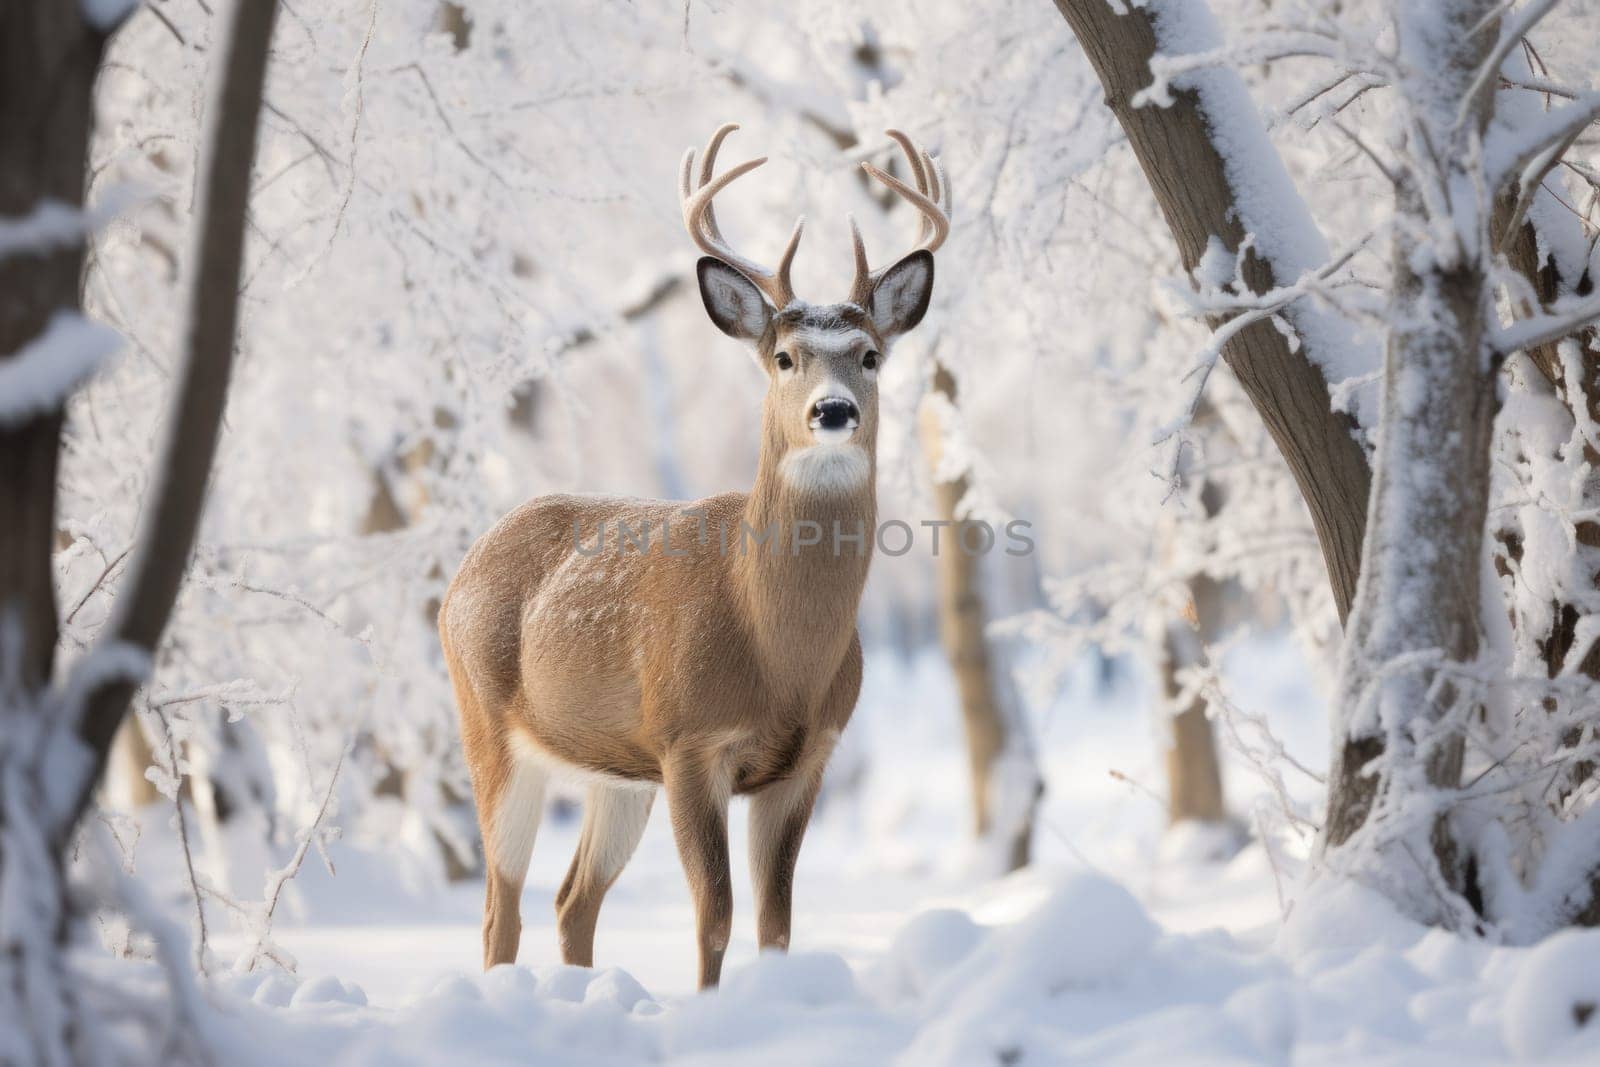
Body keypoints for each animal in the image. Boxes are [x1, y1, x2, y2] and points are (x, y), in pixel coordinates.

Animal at [438, 125, 947, 991]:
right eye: (784, 356)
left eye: (871, 354)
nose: (833, 410)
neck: (777, 648)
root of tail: (464, 567)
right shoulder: (690, 741)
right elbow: (715, 914)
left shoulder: (809, 755)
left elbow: (777, 920)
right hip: (488, 722)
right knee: (499, 907)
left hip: (615, 770)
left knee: (571, 899)